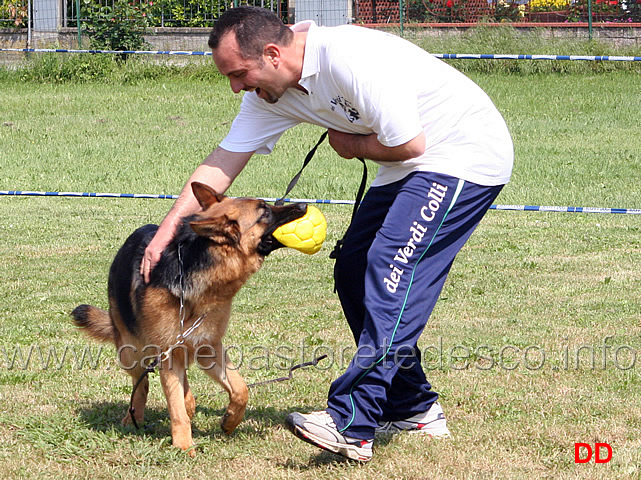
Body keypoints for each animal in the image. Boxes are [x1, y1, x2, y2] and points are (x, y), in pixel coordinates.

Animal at [71, 182, 306, 456]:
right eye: (264, 211)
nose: (304, 205)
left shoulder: (209, 347)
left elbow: (240, 388)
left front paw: (230, 420)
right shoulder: (169, 354)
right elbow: (176, 410)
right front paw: (183, 445)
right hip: (130, 351)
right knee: (142, 384)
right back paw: (134, 417)